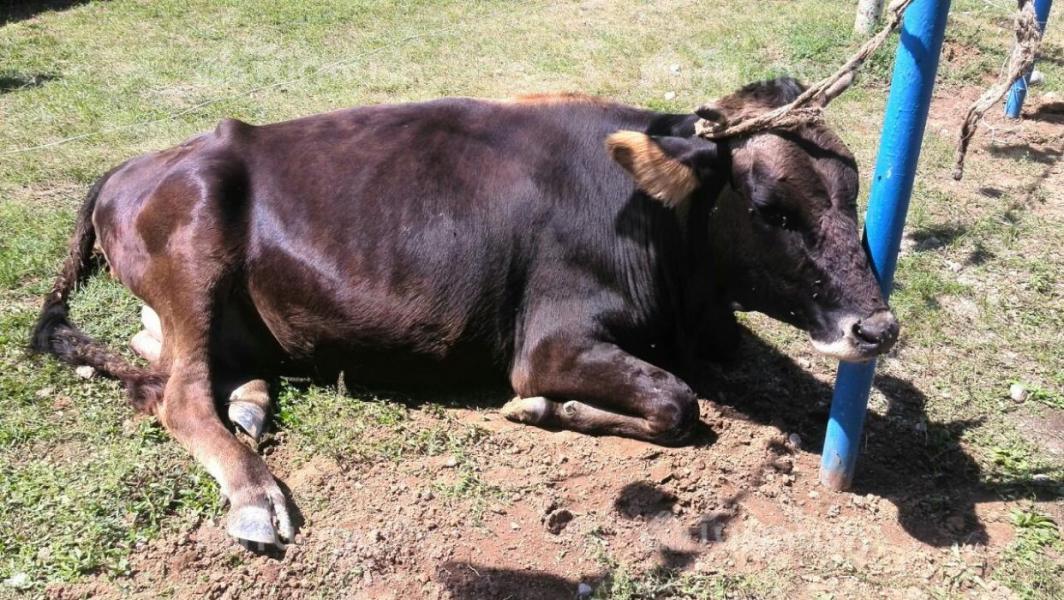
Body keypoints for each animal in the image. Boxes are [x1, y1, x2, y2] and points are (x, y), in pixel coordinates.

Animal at [31, 77, 898, 547]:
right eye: (773, 210)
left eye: (858, 197)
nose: (878, 327)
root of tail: (139, 162)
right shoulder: (551, 341)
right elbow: (677, 403)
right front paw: (544, 409)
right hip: (199, 242)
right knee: (176, 393)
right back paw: (254, 492)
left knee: (169, 357)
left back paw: (246, 397)